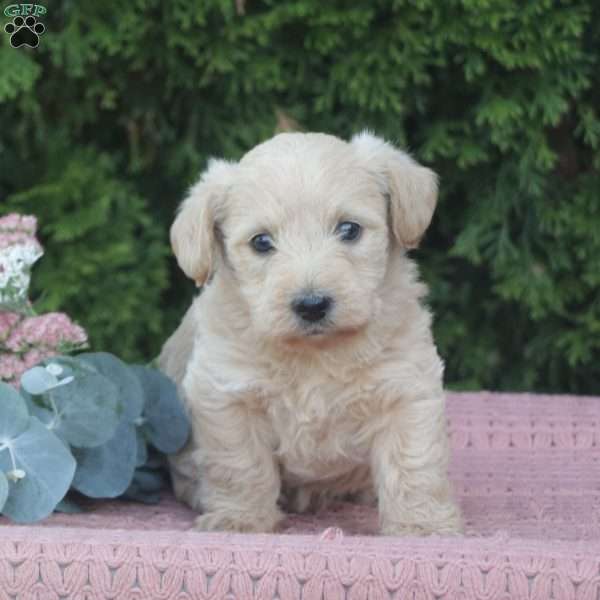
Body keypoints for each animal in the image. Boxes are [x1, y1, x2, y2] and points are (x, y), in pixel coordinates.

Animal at [157, 131, 462, 536]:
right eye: (261, 242)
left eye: (349, 229)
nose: (312, 305)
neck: (315, 353)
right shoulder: (226, 395)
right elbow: (240, 466)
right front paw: (240, 519)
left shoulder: (405, 388)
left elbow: (413, 463)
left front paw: (421, 525)